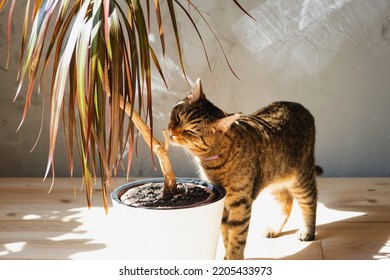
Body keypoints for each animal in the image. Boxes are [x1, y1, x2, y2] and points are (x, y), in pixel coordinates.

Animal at [168, 77, 320, 260]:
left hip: (302, 178)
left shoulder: (240, 203)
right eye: (177, 116)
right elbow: (226, 234)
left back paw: (307, 231)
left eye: (190, 131)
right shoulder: (223, 203)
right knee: (287, 201)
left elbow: (237, 237)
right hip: (273, 179)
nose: (172, 133)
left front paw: (233, 258)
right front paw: (226, 257)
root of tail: (298, 105)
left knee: (310, 202)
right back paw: (275, 228)